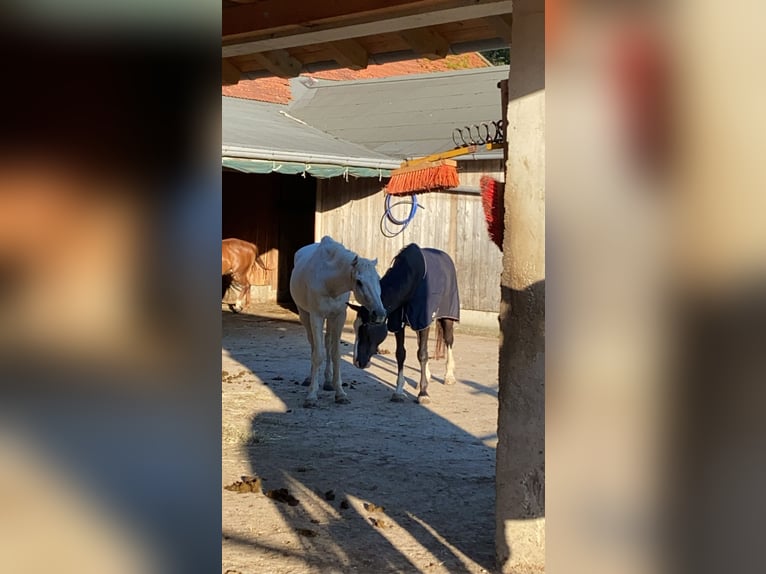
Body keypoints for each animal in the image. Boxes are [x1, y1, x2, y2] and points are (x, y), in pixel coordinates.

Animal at [290, 237, 388, 410]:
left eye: (378, 279)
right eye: (359, 282)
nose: (380, 314)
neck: (330, 282)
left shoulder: (339, 316)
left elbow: (335, 353)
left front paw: (340, 393)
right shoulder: (316, 316)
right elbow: (318, 355)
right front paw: (311, 395)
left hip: (329, 319)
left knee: (328, 344)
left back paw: (328, 382)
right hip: (305, 315)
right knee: (313, 346)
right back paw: (310, 379)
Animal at [352, 243, 460, 404]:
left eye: (366, 328)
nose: (357, 362)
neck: (411, 277)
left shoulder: (423, 320)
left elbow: (422, 354)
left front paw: (423, 393)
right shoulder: (398, 323)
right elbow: (401, 354)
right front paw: (398, 391)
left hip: (447, 316)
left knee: (448, 340)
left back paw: (449, 376)